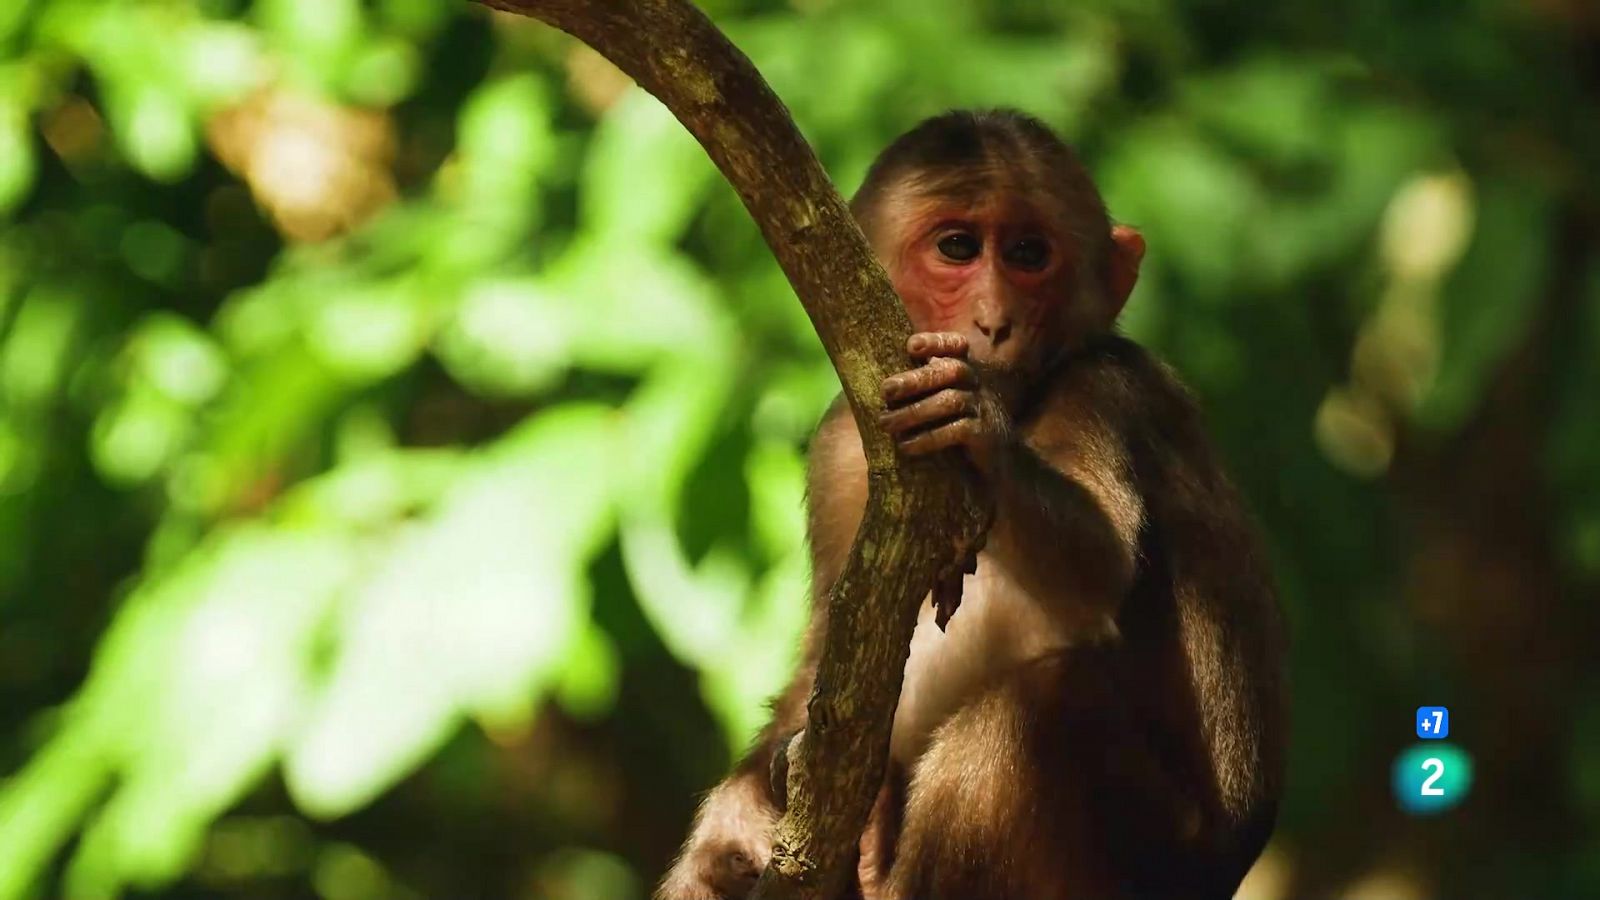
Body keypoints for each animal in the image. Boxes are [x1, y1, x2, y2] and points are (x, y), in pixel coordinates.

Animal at [659, 108, 1286, 890]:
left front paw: (975, 418)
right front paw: (736, 824)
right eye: (957, 248)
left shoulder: (1105, 386)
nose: (993, 322)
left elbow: (1098, 573)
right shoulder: (840, 445)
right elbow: (827, 668)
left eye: (1028, 254)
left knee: (1035, 707)